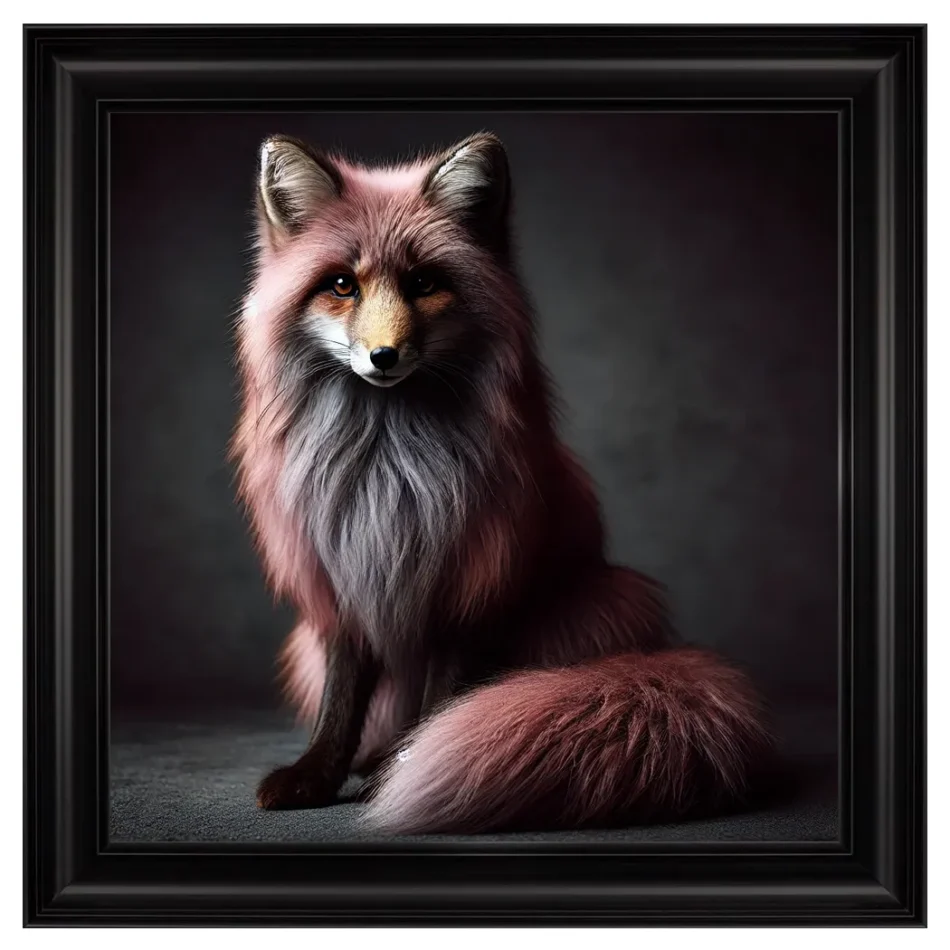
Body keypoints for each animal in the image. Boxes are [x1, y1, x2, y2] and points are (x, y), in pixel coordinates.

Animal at [231, 131, 770, 834]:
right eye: (342, 285)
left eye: (424, 283)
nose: (383, 357)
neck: (387, 469)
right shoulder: (340, 576)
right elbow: (341, 699)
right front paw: (318, 773)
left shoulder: (468, 584)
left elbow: (439, 700)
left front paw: (402, 764)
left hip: (602, 605)